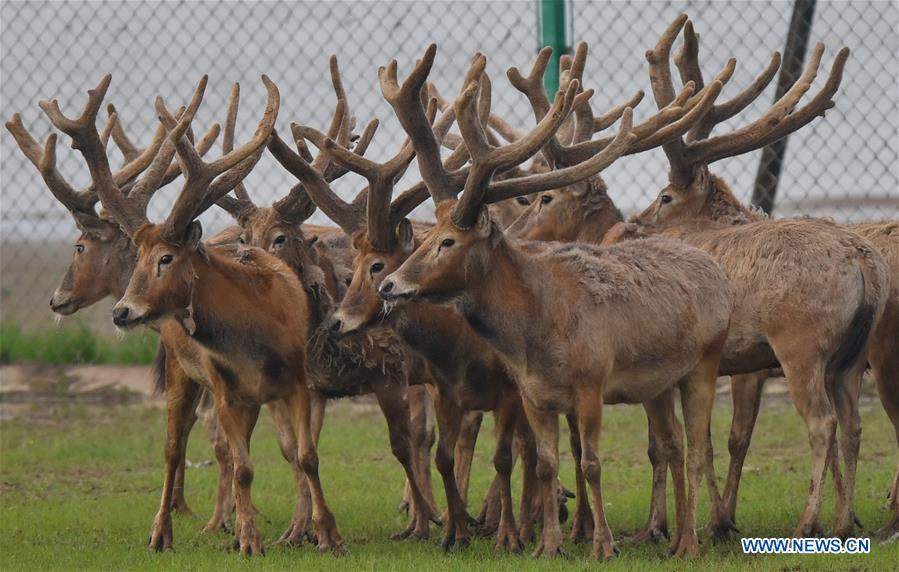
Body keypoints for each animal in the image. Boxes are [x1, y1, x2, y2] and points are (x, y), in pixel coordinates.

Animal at [370, 44, 736, 560]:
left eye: (448, 242)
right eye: (424, 238)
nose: (389, 285)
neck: (533, 337)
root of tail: (717, 272)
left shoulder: (591, 383)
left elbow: (591, 463)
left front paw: (602, 544)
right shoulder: (532, 395)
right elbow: (544, 464)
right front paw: (547, 544)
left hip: (705, 361)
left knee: (701, 447)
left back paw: (689, 542)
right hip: (659, 383)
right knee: (676, 445)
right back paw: (673, 538)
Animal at [604, 14, 892, 540]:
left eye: (664, 197)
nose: (631, 225)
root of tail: (864, 259)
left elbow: (691, 442)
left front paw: (695, 524)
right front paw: (713, 521)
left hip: (802, 343)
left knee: (822, 421)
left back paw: (808, 523)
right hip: (852, 353)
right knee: (854, 424)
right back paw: (844, 523)